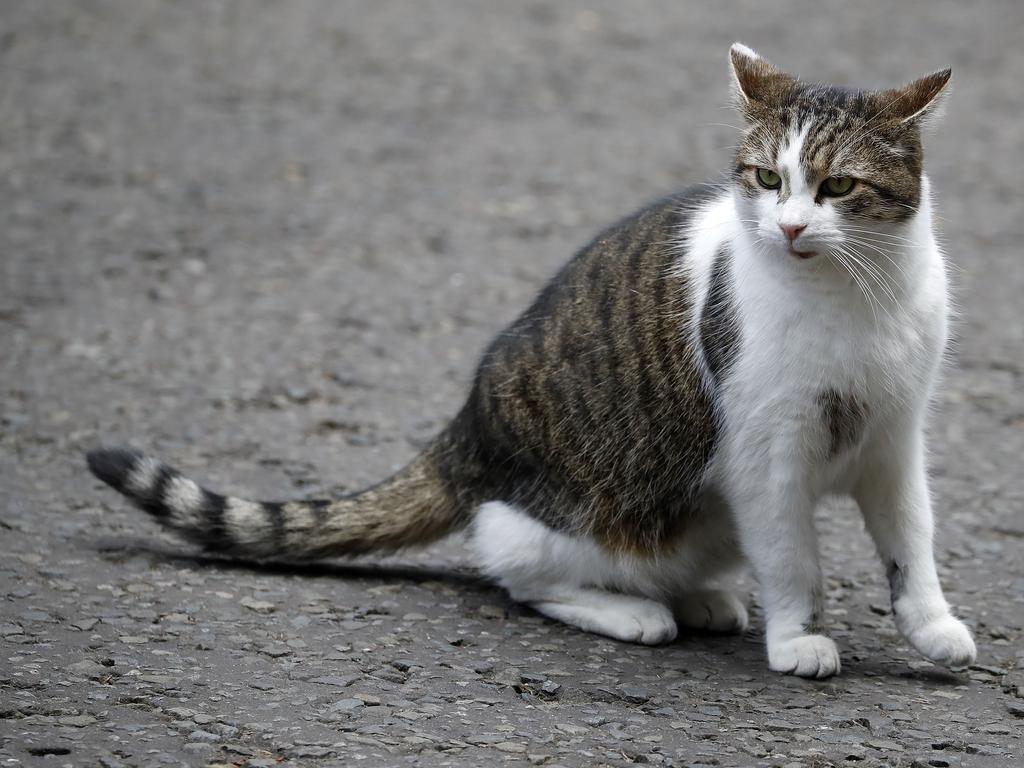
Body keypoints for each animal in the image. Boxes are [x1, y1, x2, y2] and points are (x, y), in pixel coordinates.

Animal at [86, 43, 974, 679]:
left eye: (837, 187)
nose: (788, 227)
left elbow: (913, 543)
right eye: (766, 177)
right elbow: (793, 559)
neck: (855, 298)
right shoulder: (768, 453)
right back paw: (634, 611)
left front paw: (932, 628)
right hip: (588, 520)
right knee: (514, 564)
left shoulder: (895, 440)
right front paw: (798, 640)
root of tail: (467, 428)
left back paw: (703, 596)